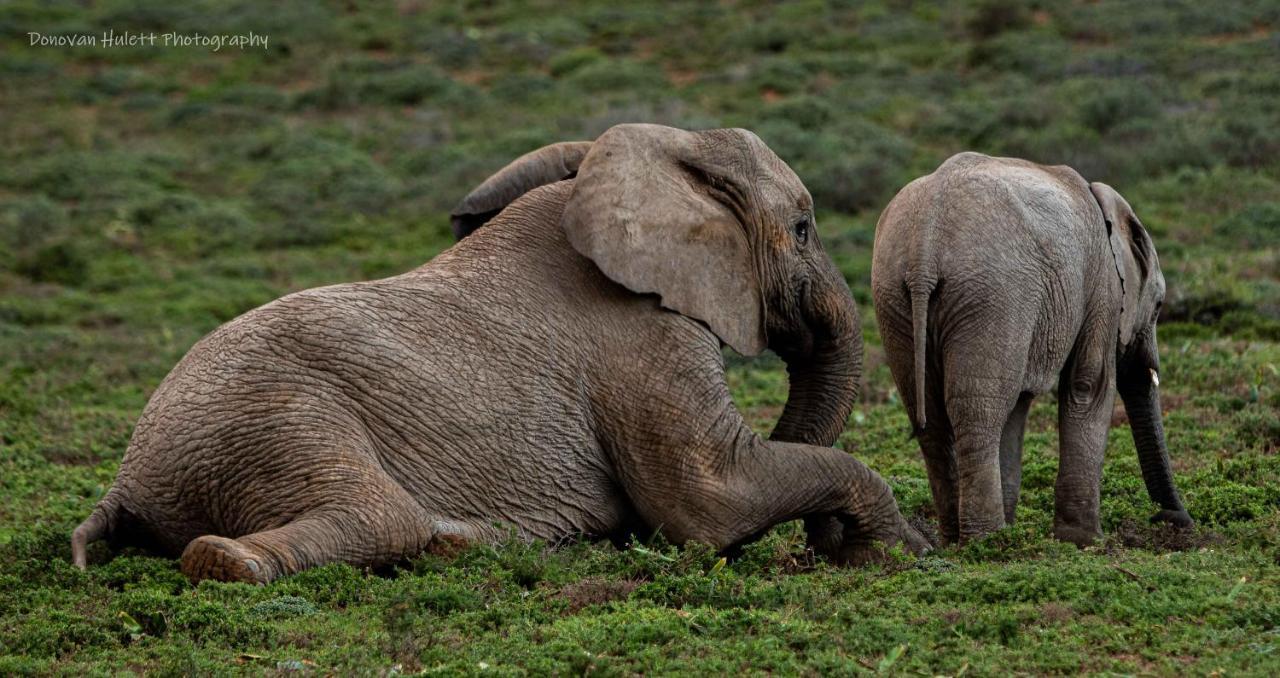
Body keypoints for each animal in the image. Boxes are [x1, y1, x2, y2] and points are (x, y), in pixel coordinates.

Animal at [72, 124, 931, 583]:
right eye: (805, 228)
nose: (819, 548)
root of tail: (128, 477)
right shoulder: (641, 337)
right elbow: (710, 504)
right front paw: (895, 554)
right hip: (271, 420)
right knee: (382, 516)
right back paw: (230, 563)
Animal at [870, 150, 1187, 539]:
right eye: (1158, 306)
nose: (1171, 519)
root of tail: (924, 248)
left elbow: (1020, 405)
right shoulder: (1103, 285)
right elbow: (1088, 384)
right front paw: (1084, 540)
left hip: (893, 296)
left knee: (933, 417)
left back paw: (960, 539)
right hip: (993, 294)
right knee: (979, 413)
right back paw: (987, 541)